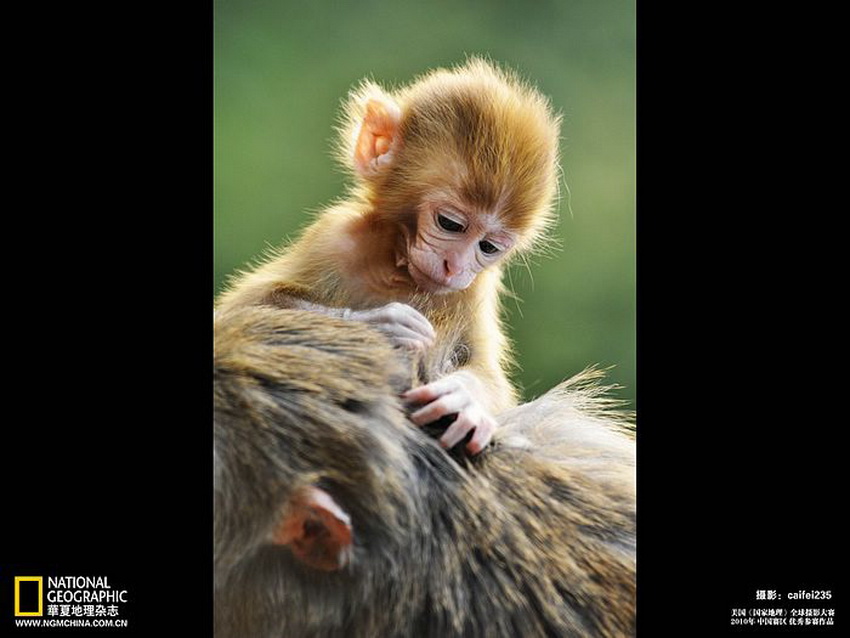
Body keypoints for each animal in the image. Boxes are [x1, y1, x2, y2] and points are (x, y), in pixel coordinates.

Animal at [217, 58, 564, 456]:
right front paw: (382, 322)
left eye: (488, 247)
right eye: (451, 224)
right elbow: (237, 313)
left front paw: (466, 400)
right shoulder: (333, 237)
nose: (455, 267)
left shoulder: (475, 287)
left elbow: (486, 372)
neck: (396, 267)